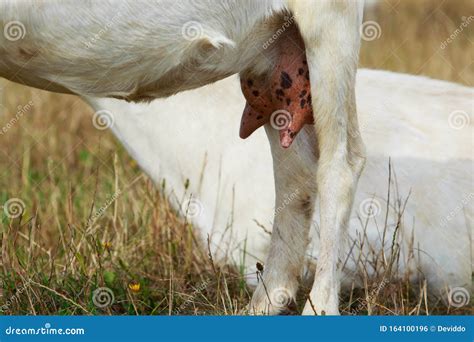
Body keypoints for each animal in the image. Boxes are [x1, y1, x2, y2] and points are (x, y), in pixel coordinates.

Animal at [1, 0, 368, 316]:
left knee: (341, 162)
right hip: (277, 56)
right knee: (295, 170)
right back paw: (263, 302)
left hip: (330, 23)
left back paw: (319, 308)